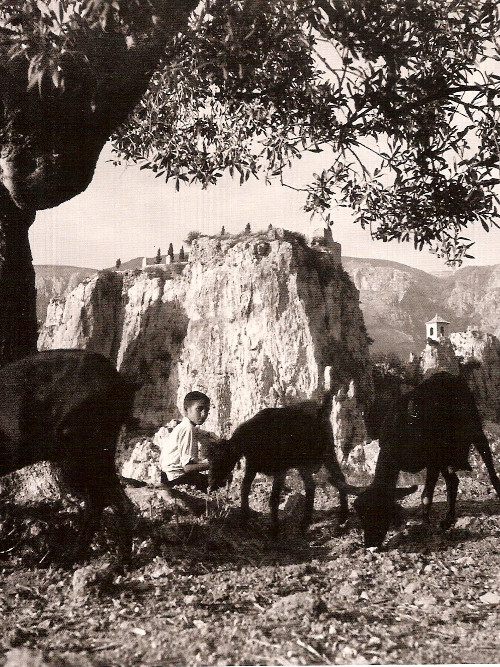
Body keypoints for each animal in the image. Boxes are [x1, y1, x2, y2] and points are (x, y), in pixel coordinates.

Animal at [0, 350, 137, 564]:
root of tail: (117, 381)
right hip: (94, 456)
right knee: (107, 502)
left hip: (80, 458)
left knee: (104, 503)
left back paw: (114, 562)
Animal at [205, 402, 362, 536]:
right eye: (210, 460)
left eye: (222, 459)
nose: (211, 483)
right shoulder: (252, 466)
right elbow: (244, 489)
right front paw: (243, 520)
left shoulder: (281, 469)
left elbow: (274, 498)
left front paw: (274, 529)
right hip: (309, 461)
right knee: (319, 483)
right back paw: (318, 522)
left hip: (323, 453)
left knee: (329, 480)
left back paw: (329, 520)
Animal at [354, 370, 500, 548]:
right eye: (362, 517)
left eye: (381, 514)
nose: (370, 543)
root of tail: (447, 375)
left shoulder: (433, 460)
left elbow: (425, 496)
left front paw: (425, 525)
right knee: (453, 481)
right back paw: (448, 520)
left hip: (473, 428)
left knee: (489, 465)